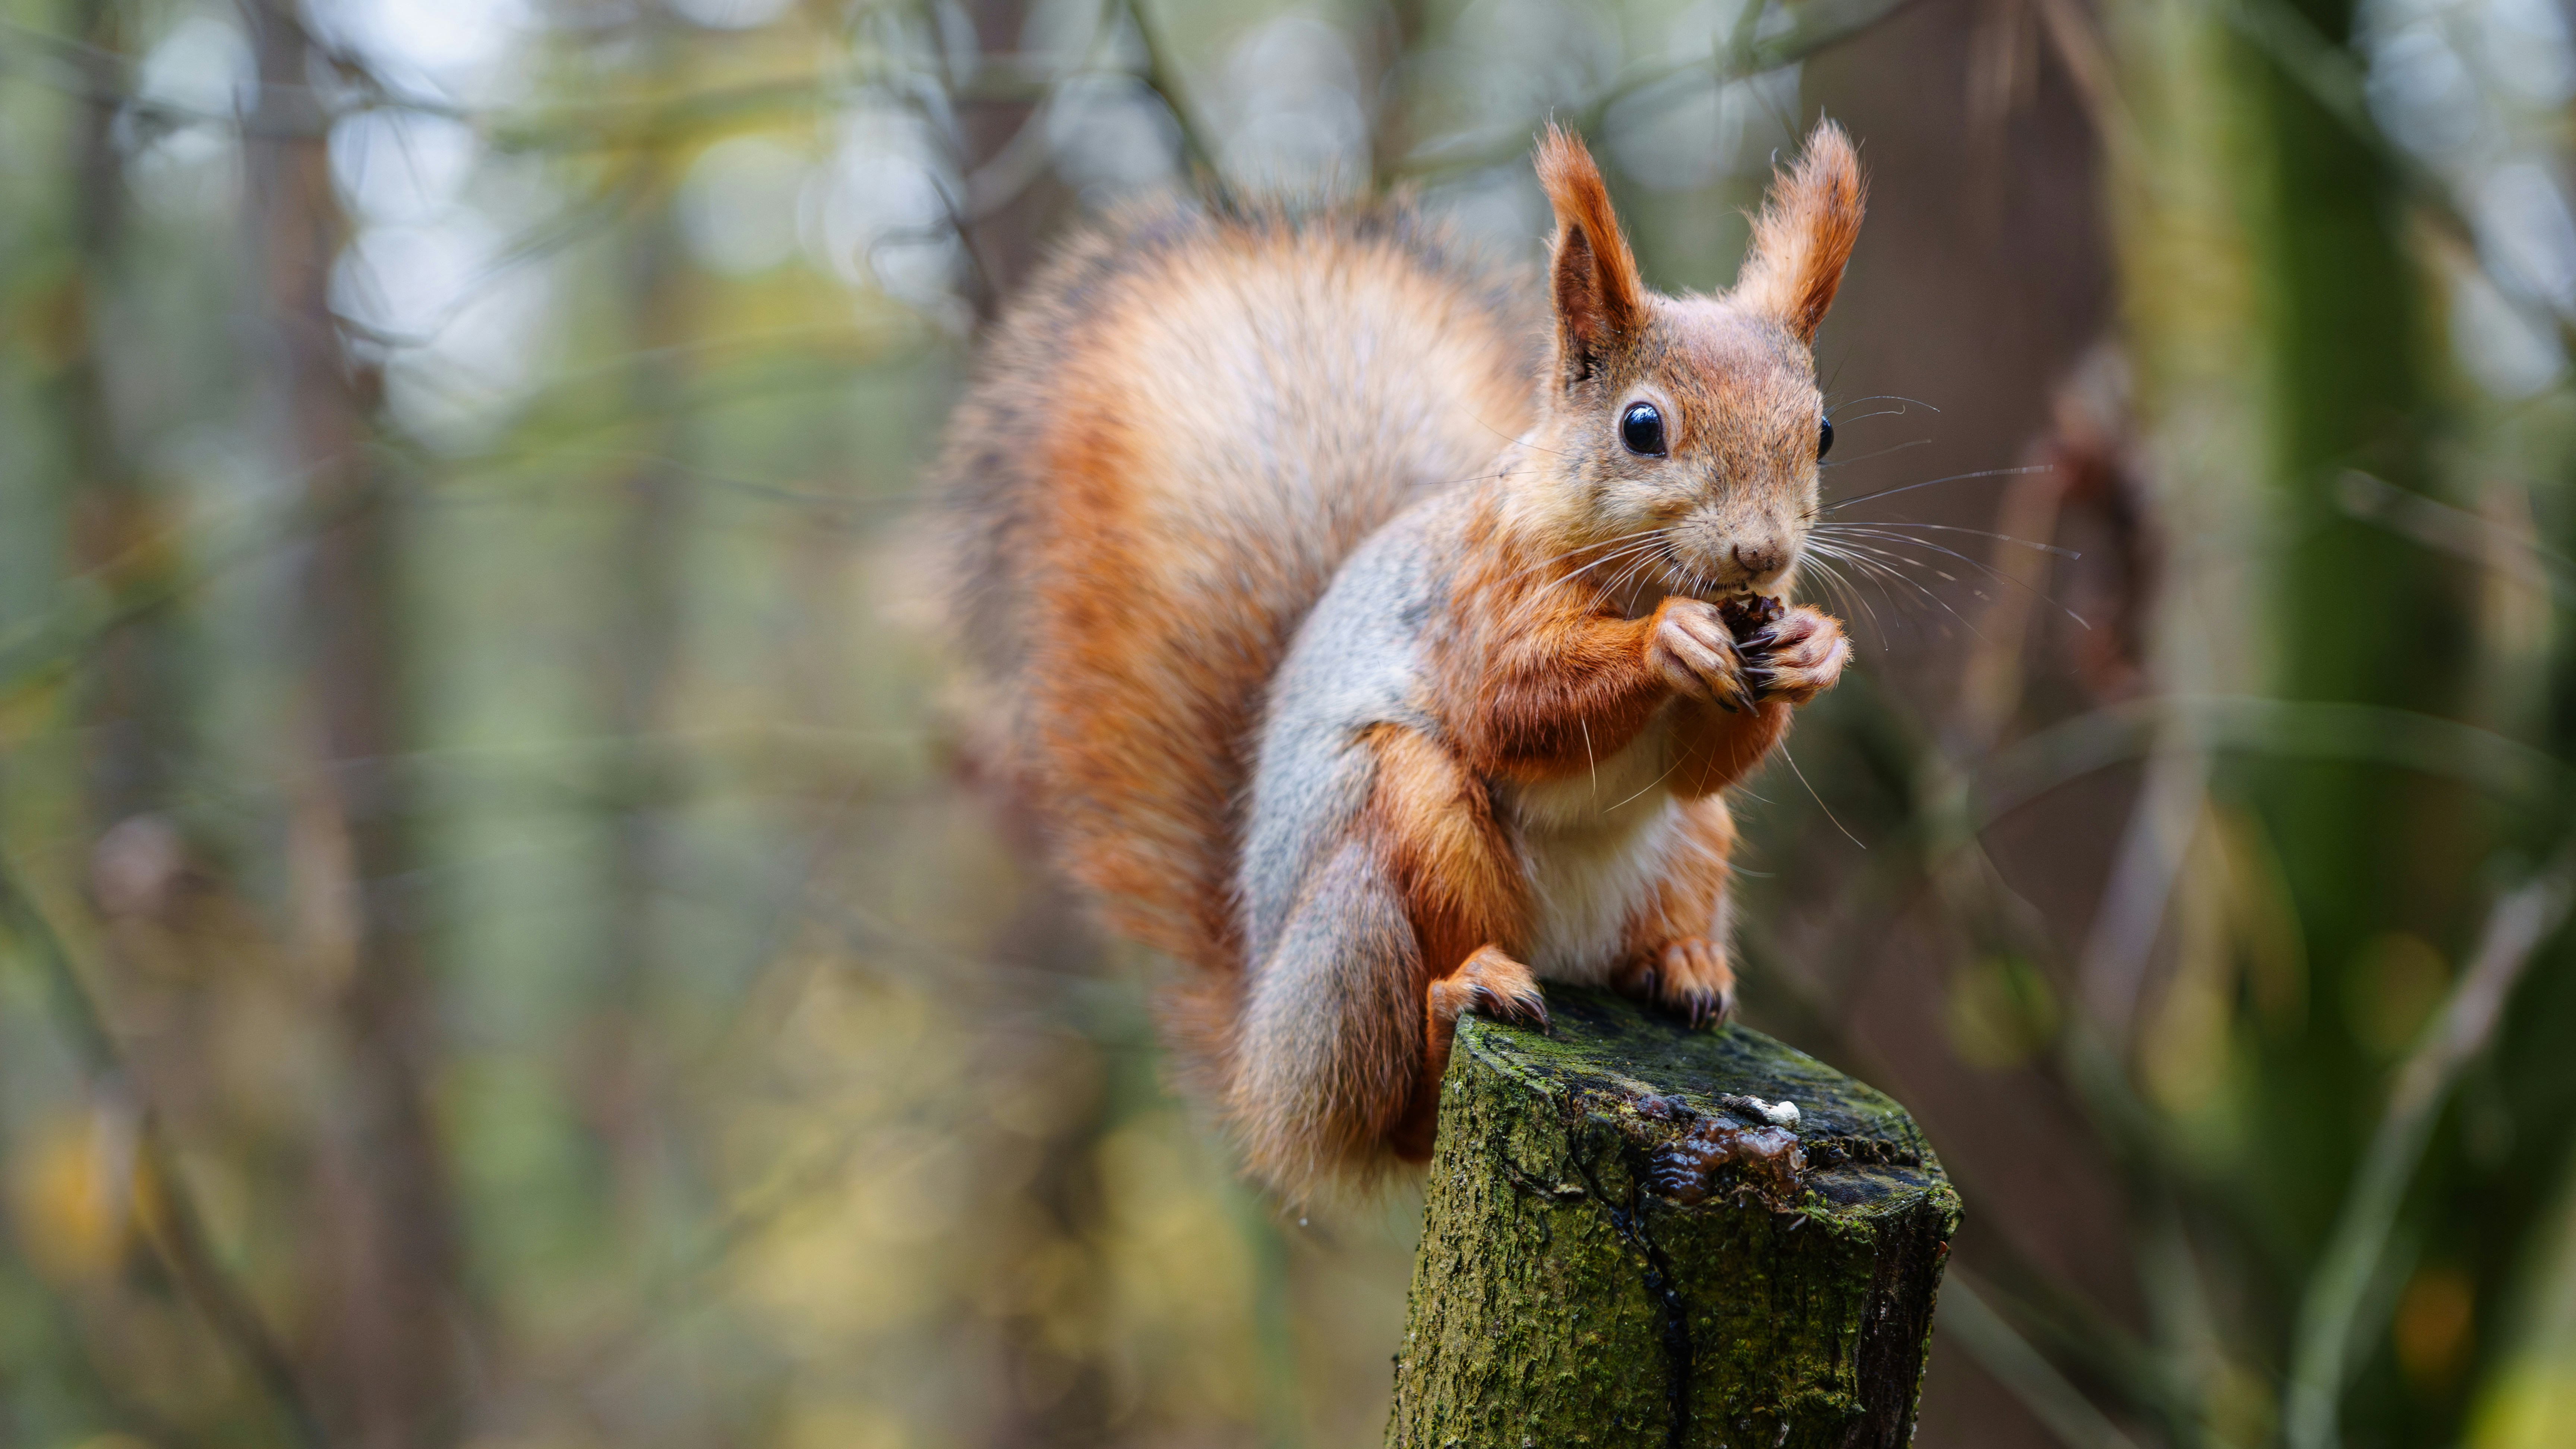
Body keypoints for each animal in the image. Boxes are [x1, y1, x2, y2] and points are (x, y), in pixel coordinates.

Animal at [941, 121, 1864, 1204]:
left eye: (1823, 432)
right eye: (1642, 428)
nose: (1761, 554)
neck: (1634, 576)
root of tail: (1258, 1053)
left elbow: (1700, 766)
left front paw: (1811, 648)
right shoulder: (1471, 601)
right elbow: (1512, 706)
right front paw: (1667, 641)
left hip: (1691, 847)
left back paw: (1681, 966)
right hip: (1377, 887)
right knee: (1400, 1111)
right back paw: (1460, 997)